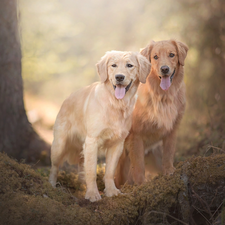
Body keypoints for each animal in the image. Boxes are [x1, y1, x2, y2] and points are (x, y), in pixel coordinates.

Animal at [49, 50, 151, 201]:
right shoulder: (92, 140)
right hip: (59, 145)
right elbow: (91, 170)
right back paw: (51, 184)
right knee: (55, 166)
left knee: (81, 163)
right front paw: (92, 194)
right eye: (113, 65)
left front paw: (111, 191)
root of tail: (67, 98)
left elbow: (109, 172)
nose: (119, 77)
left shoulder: (117, 143)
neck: (115, 103)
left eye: (129, 65)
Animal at [115, 39, 189, 186]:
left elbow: (168, 153)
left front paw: (169, 171)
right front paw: (140, 185)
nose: (164, 69)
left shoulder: (172, 129)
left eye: (172, 54)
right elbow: (138, 165)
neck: (163, 96)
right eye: (155, 57)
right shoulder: (136, 136)